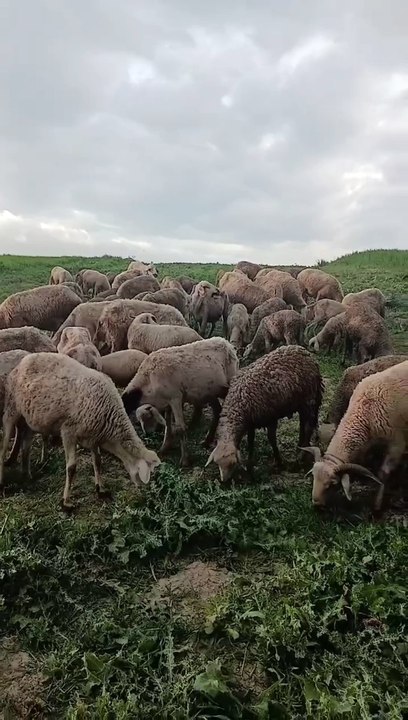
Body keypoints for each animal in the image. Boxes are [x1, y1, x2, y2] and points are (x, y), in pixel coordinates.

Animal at [0, 352, 161, 508]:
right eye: (145, 474)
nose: (145, 496)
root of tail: (23, 361)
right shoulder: (68, 432)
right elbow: (71, 468)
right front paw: (66, 501)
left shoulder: (94, 436)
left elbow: (98, 461)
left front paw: (100, 488)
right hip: (11, 410)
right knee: (3, 448)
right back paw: (2, 483)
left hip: (29, 419)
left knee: (25, 446)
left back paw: (27, 476)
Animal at [122, 337, 239, 466]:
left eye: (148, 417)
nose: (147, 434)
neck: (147, 381)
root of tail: (226, 343)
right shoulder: (167, 402)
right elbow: (168, 425)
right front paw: (165, 447)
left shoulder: (175, 398)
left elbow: (180, 428)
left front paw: (185, 460)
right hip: (210, 391)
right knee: (217, 410)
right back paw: (207, 441)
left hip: (228, 383)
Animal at [206, 346, 323, 481]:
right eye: (217, 464)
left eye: (232, 464)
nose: (224, 481)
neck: (239, 402)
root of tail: (304, 351)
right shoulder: (251, 422)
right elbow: (250, 441)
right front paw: (250, 465)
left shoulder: (270, 417)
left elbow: (271, 439)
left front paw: (279, 461)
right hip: (300, 402)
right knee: (302, 423)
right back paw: (300, 446)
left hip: (309, 398)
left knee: (309, 426)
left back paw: (301, 456)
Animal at [304, 361, 408, 510]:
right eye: (313, 476)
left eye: (332, 484)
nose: (317, 504)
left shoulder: (396, 443)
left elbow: (383, 473)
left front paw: (377, 504)